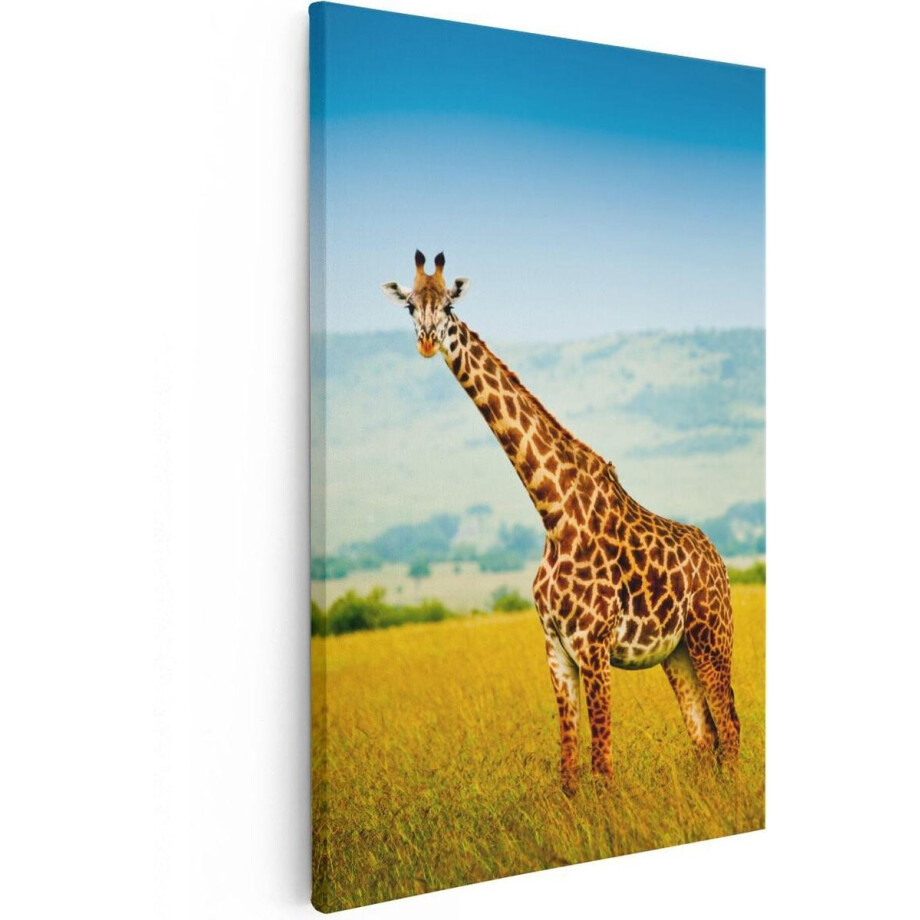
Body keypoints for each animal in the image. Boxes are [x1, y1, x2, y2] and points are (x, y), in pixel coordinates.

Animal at [382, 250, 740, 795]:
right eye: (409, 307)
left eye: (447, 306)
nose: (426, 341)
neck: (552, 511)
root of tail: (719, 561)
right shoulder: (555, 648)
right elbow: (569, 769)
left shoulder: (593, 646)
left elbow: (603, 765)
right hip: (678, 651)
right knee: (705, 735)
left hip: (712, 637)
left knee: (732, 728)